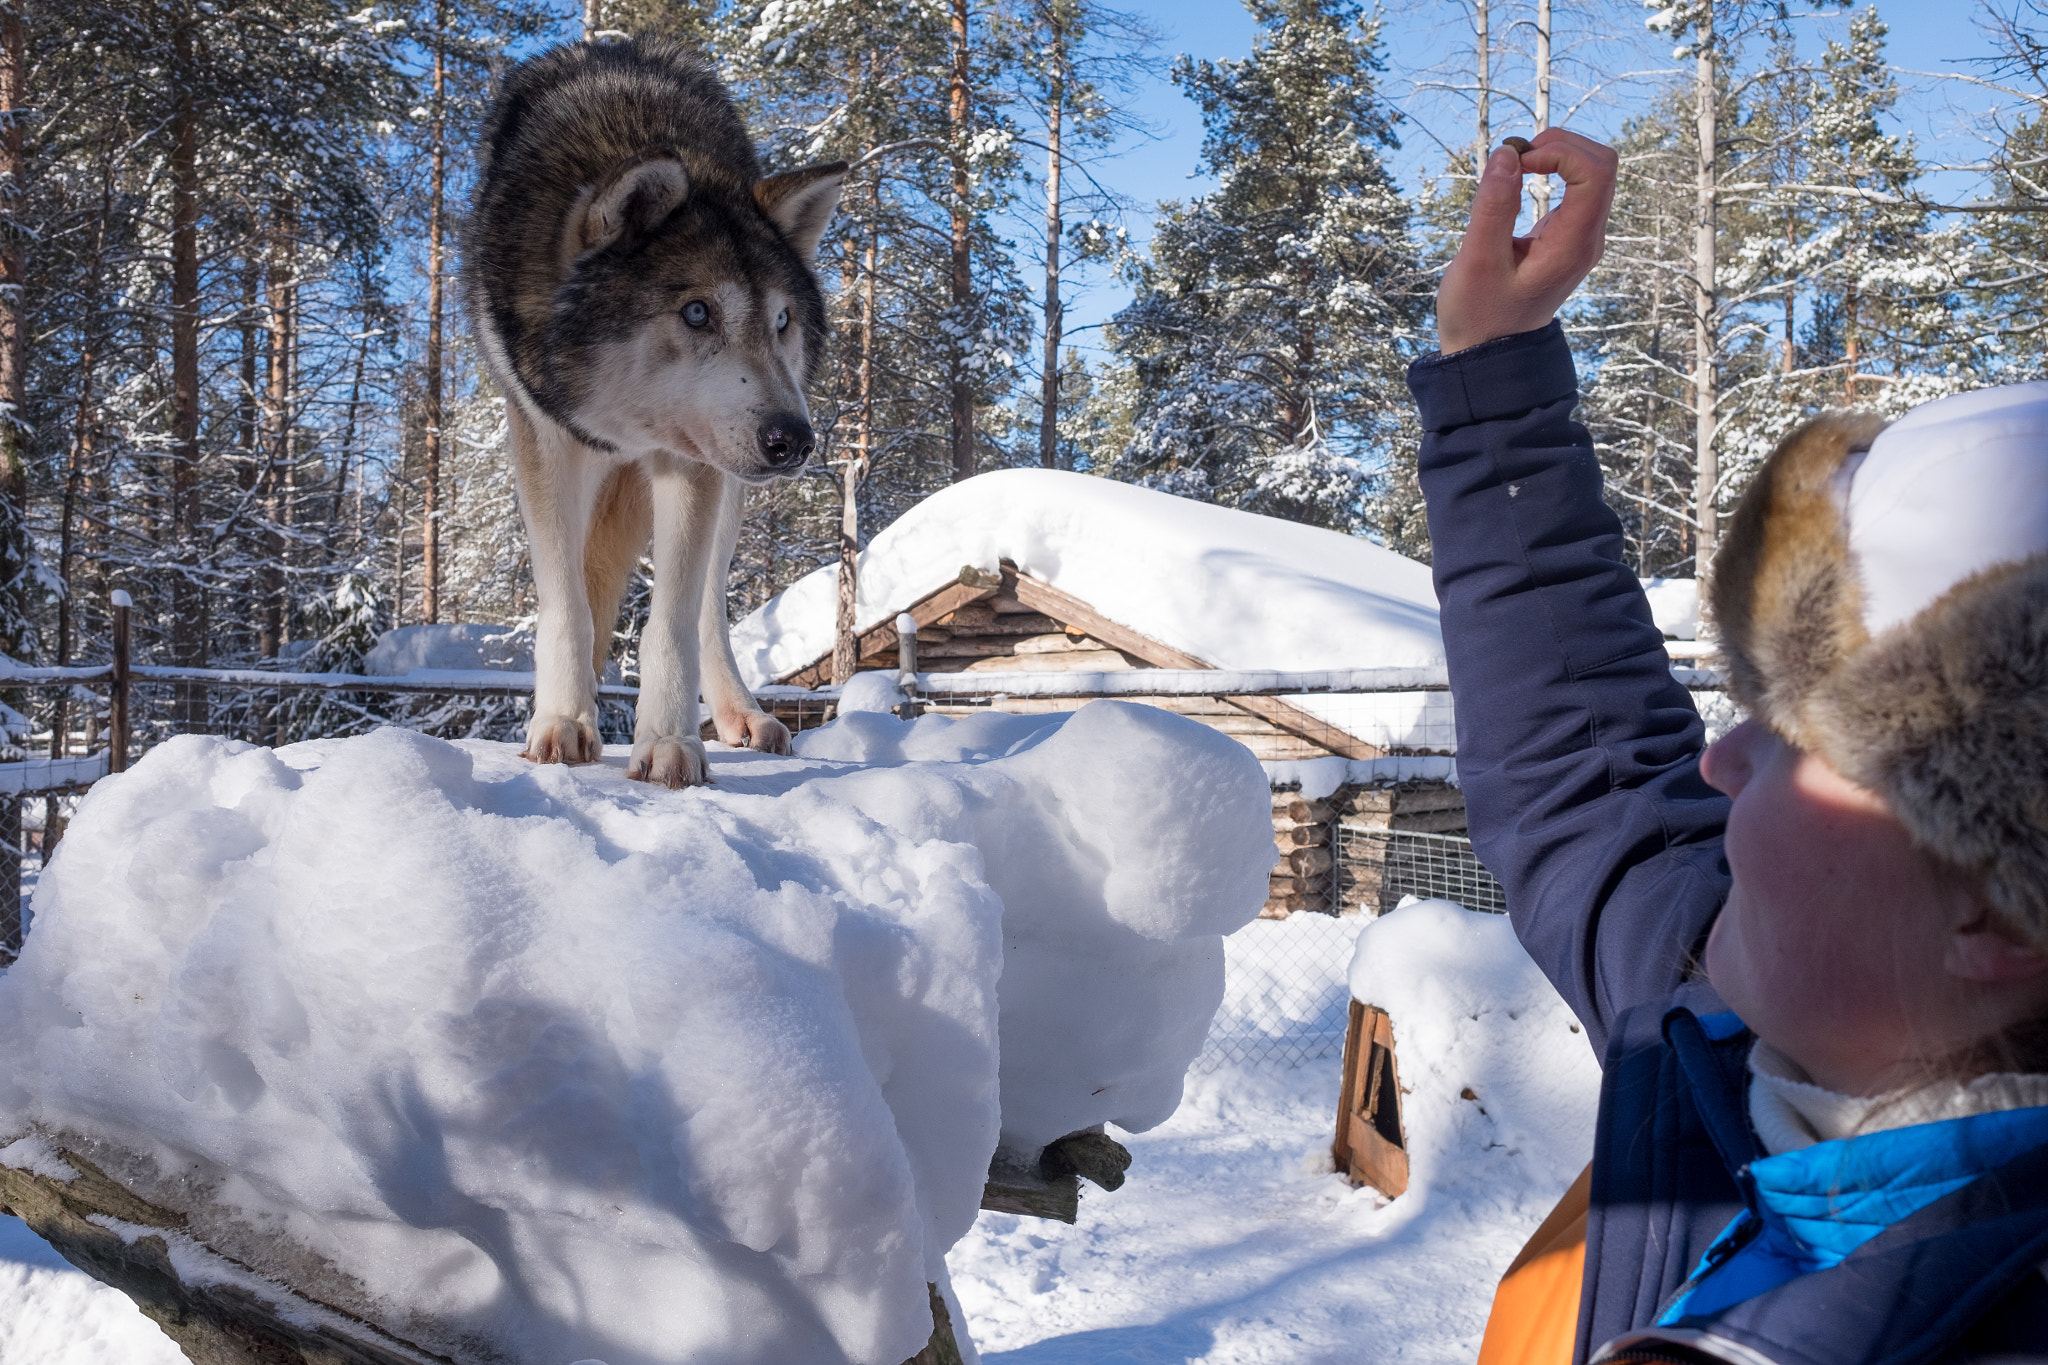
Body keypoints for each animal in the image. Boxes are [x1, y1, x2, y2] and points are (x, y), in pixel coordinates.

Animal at [468, 40, 843, 789]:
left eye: (781, 320)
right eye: (697, 312)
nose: (794, 440)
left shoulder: (690, 459)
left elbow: (670, 623)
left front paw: (669, 744)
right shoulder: (545, 439)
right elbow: (568, 607)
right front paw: (563, 722)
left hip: (730, 488)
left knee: (709, 613)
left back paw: (740, 714)